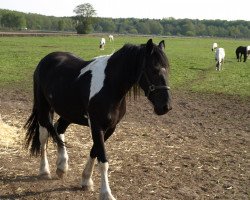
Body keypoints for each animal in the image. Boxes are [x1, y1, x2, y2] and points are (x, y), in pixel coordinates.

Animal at [23, 38, 172, 199]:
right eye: (154, 69)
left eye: (167, 69)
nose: (166, 106)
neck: (110, 86)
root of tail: (47, 59)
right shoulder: (96, 126)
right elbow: (103, 160)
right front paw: (106, 193)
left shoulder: (110, 128)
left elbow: (94, 152)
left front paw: (86, 180)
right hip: (44, 109)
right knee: (44, 136)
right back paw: (45, 170)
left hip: (69, 113)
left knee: (59, 129)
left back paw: (62, 166)